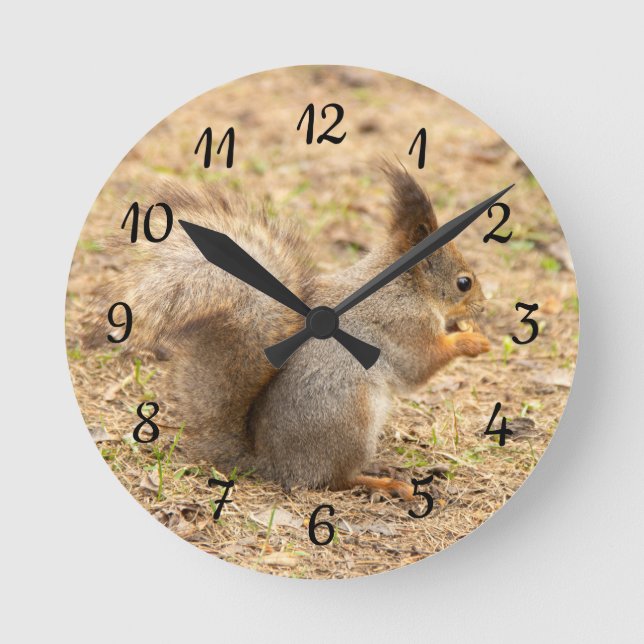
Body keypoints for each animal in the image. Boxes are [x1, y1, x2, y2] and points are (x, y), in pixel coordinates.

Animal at [84, 163, 490, 500]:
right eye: (464, 282)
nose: (483, 308)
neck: (406, 286)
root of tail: (273, 464)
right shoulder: (403, 324)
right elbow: (419, 365)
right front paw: (472, 340)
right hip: (350, 419)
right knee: (335, 480)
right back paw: (383, 483)